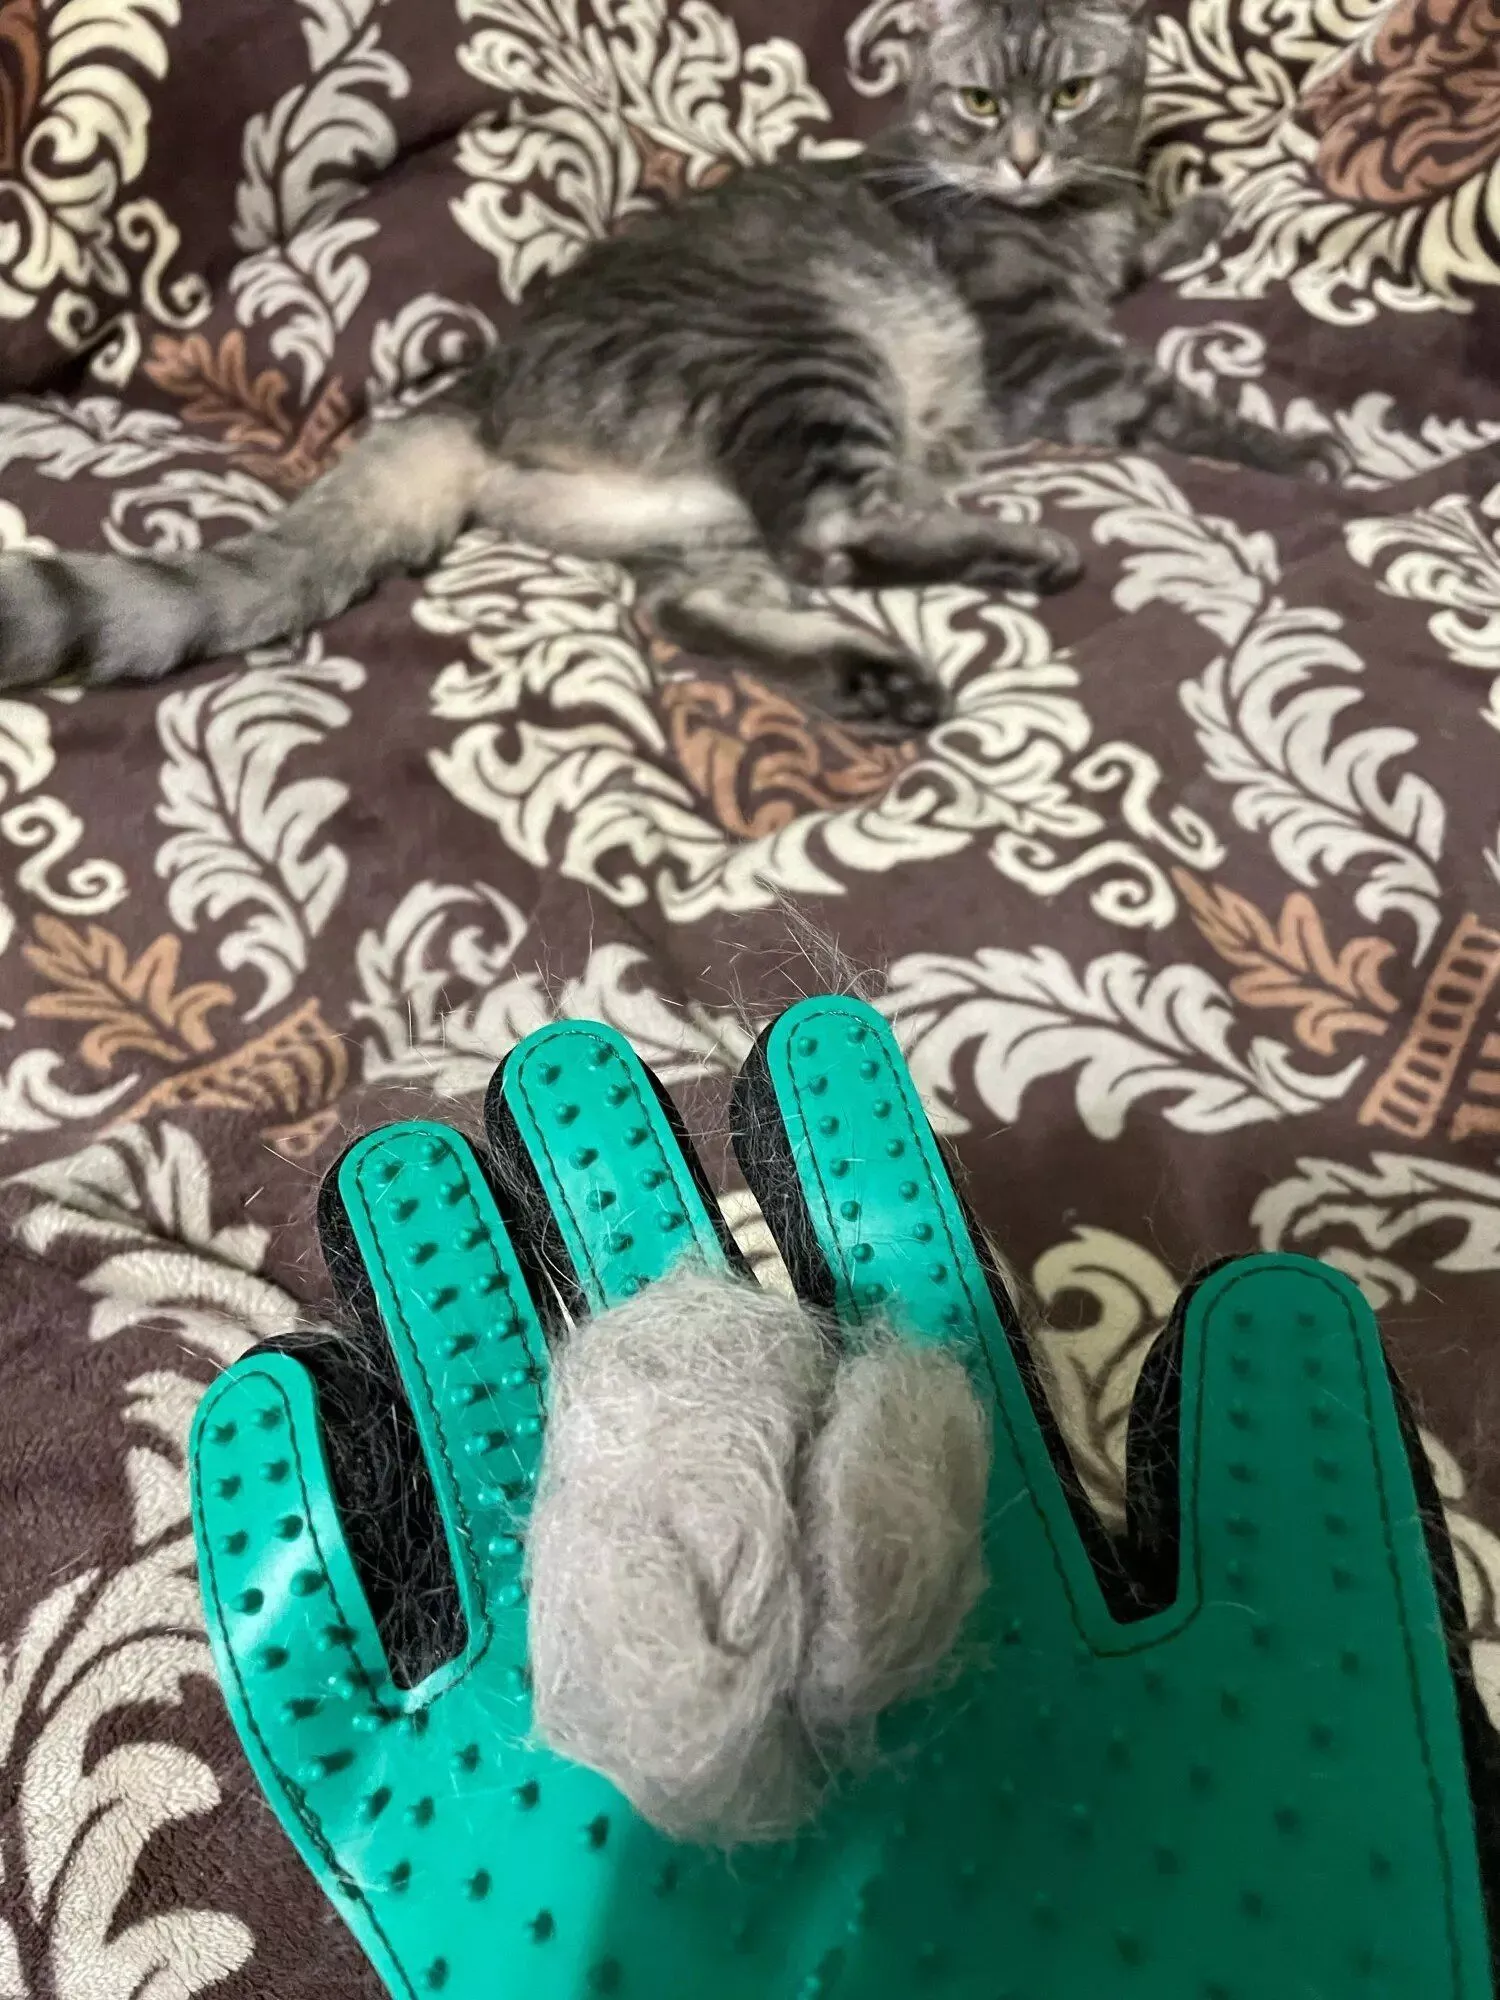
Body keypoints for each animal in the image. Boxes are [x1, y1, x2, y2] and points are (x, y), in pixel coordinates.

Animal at [0, 0, 1340, 728]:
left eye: (1069, 93)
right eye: (973, 102)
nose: (1020, 156)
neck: (1064, 205)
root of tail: (480, 389)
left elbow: (1144, 246)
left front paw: (1194, 212)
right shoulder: (1046, 346)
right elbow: (1169, 396)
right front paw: (1295, 445)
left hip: (693, 511)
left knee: (700, 600)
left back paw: (870, 674)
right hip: (804, 355)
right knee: (827, 534)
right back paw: (1010, 554)